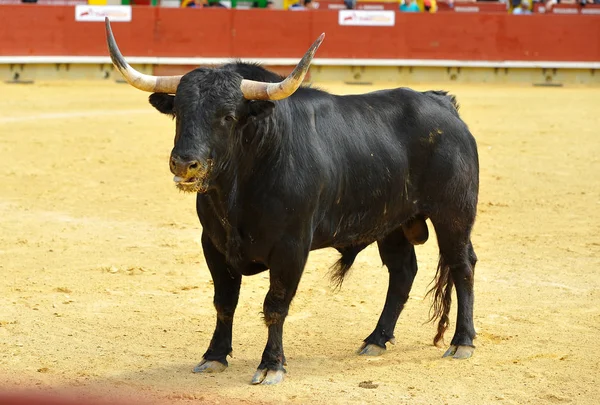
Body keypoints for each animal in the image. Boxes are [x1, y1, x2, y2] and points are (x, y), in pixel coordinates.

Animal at [104, 19, 478, 386]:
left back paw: (462, 342)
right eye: (178, 112)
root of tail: (443, 104)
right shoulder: (213, 244)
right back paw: (376, 339)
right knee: (402, 272)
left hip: (454, 214)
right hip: (393, 223)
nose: (184, 164)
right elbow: (224, 302)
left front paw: (271, 365)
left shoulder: (291, 248)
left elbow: (275, 305)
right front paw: (214, 356)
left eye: (228, 116)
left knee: (462, 266)